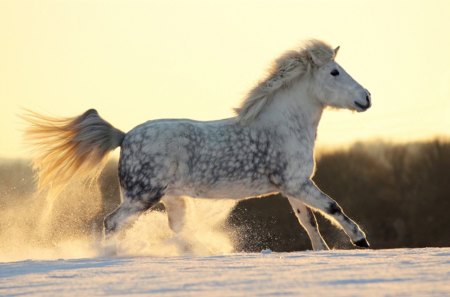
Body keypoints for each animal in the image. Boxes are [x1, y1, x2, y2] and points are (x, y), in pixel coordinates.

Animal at [22, 38, 370, 249]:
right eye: (335, 72)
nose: (366, 97)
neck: (283, 127)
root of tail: (124, 136)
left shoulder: (290, 187)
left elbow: (308, 221)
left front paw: (322, 251)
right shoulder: (297, 182)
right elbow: (332, 207)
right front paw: (360, 240)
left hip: (170, 198)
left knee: (170, 230)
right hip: (142, 196)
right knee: (113, 222)